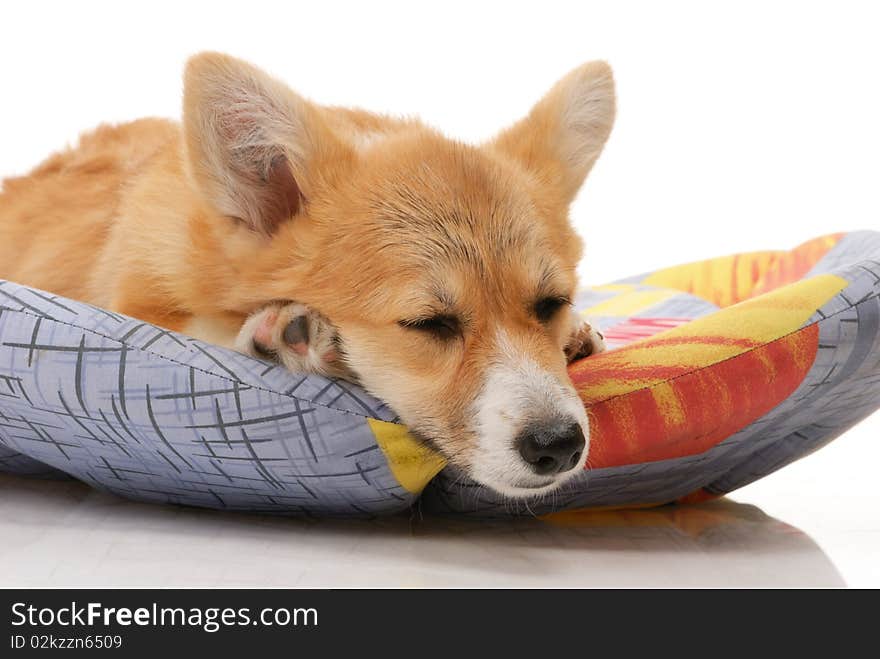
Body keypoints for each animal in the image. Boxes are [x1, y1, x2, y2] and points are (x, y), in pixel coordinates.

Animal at [0, 54, 616, 498]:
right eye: (427, 323)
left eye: (550, 304)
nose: (559, 446)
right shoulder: (135, 300)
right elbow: (202, 328)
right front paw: (284, 335)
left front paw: (579, 335)